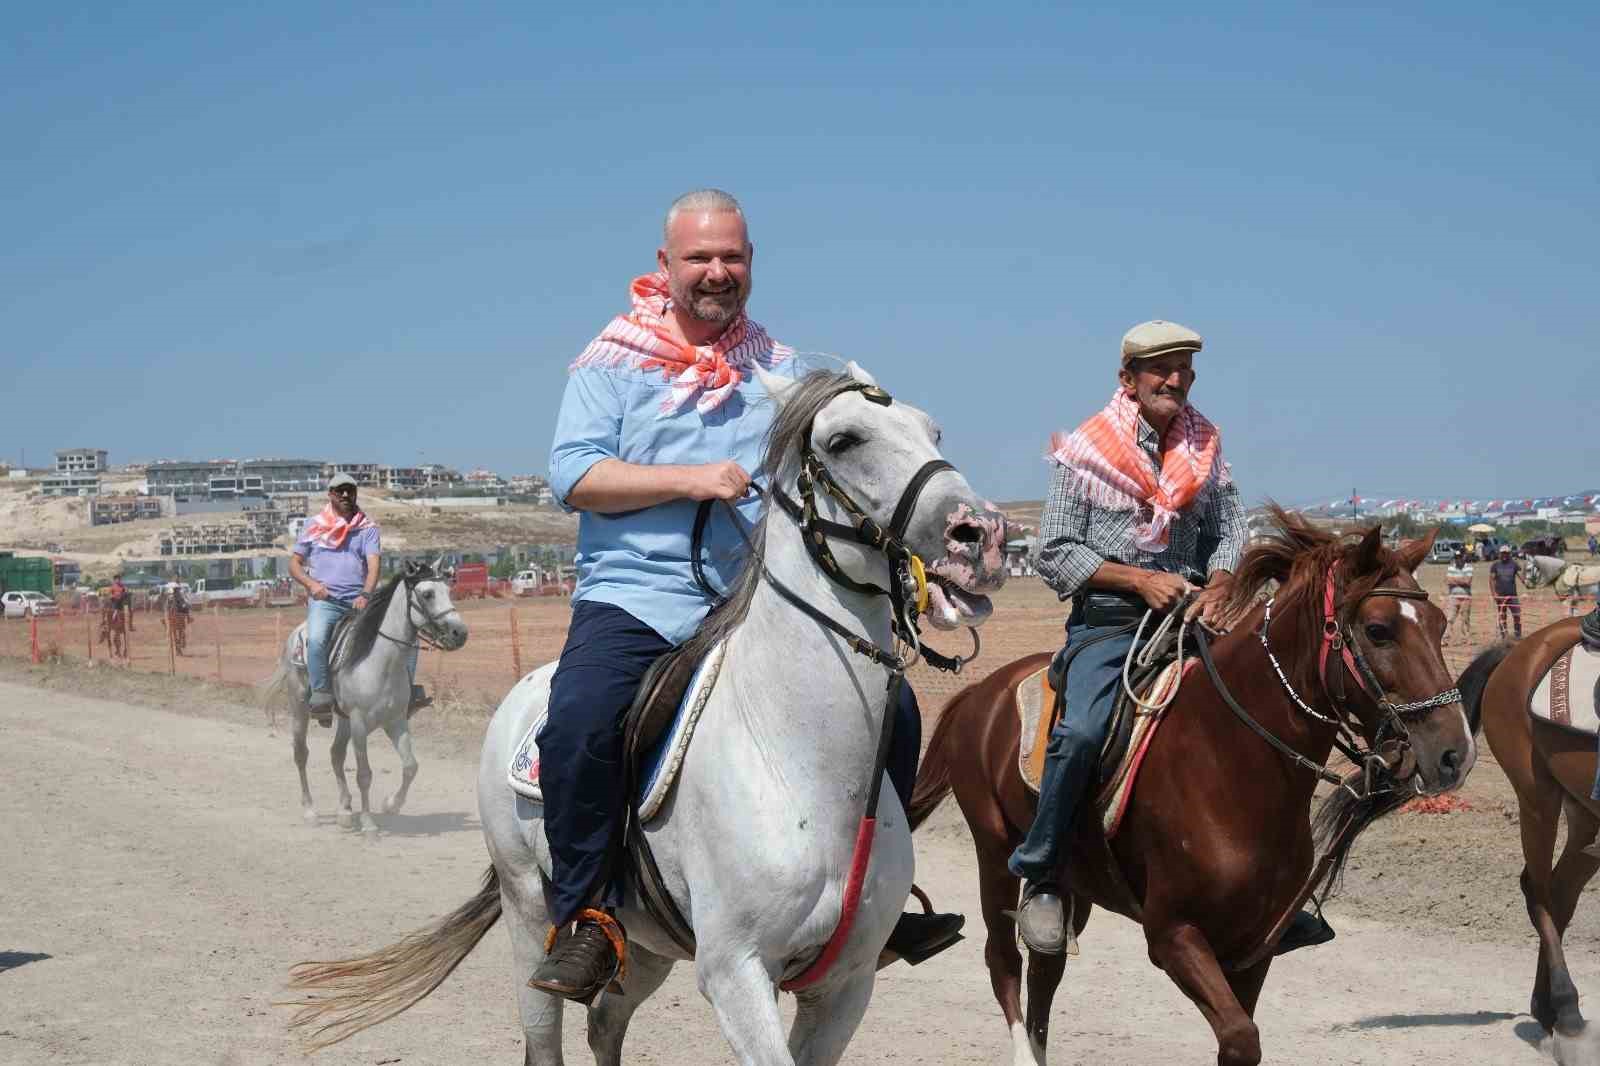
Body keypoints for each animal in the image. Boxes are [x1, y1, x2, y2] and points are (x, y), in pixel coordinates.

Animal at [265, 557, 467, 832]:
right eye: (428, 594)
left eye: (449, 590)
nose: (460, 633)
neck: (380, 662)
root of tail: (295, 635)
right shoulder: (360, 723)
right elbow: (364, 774)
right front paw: (370, 823)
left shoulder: (396, 721)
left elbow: (410, 766)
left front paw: (391, 805)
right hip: (300, 710)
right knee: (301, 754)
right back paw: (310, 811)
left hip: (344, 720)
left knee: (336, 755)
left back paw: (345, 811)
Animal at [286, 363, 1004, 1056]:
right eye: (844, 440)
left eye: (932, 431)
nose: (982, 536)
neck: (798, 761)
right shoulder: (736, 972)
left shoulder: (844, 987)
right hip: (529, 915)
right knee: (545, 1033)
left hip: (647, 943)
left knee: (606, 1022)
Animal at [908, 512, 1478, 1056]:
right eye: (1379, 630)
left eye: (1439, 625)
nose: (1456, 754)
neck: (1232, 763)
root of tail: (981, 693)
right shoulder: (1174, 935)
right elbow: (1241, 1037)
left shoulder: (1254, 948)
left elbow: (1239, 1036)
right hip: (992, 853)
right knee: (1002, 960)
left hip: (1073, 883)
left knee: (1046, 970)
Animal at [1465, 617, 1593, 1030]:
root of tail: (1520, 649)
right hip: (1538, 801)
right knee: (1539, 891)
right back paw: (1565, 1007)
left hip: (1585, 817)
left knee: (1560, 893)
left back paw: (1547, 1005)